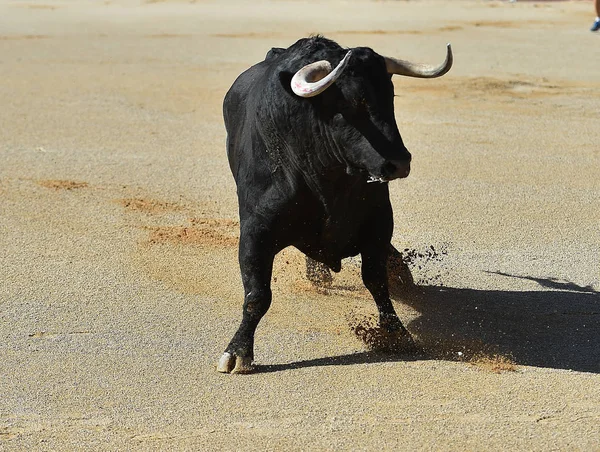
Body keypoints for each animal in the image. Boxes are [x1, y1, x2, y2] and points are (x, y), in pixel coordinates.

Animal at [216, 36, 450, 374]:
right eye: (349, 104)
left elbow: (377, 280)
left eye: (390, 97)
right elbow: (257, 294)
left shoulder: (379, 223)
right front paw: (237, 352)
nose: (399, 162)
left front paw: (397, 334)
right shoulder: (255, 232)